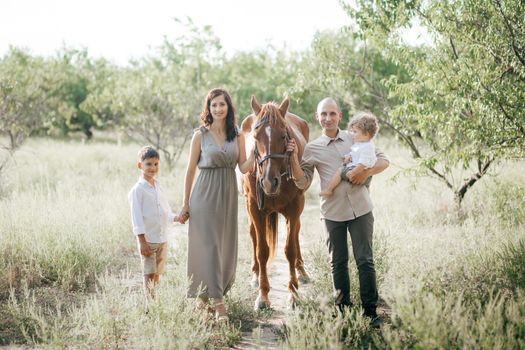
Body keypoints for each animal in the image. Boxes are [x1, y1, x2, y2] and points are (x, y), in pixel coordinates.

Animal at [243, 95, 312, 308]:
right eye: (255, 137)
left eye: (283, 136)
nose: (268, 181)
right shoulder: (255, 208)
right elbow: (262, 251)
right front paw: (263, 295)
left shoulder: (295, 207)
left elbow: (290, 249)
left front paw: (293, 293)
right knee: (253, 236)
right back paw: (255, 275)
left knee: (296, 234)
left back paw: (301, 271)